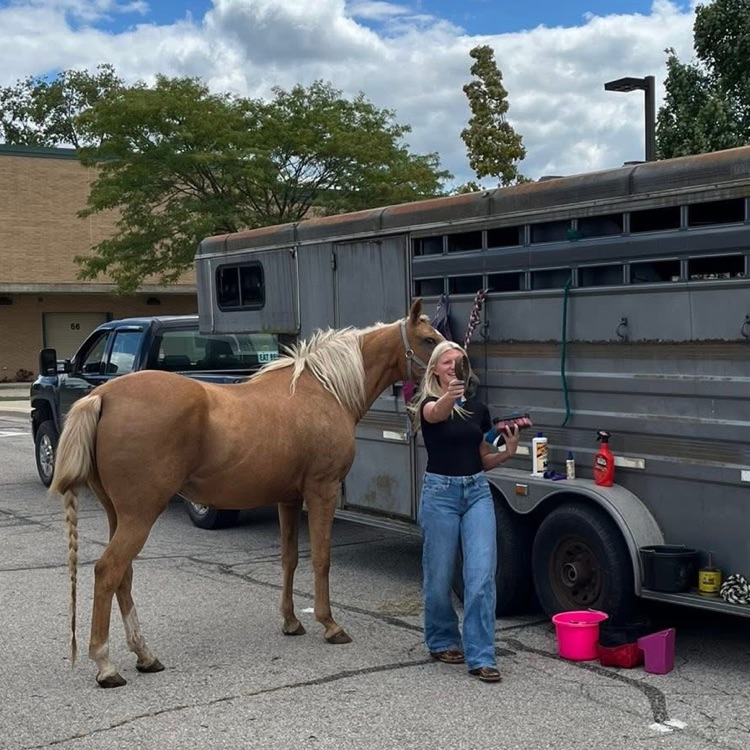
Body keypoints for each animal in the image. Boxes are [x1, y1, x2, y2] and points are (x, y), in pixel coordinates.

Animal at [50, 298, 441, 688]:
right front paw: (330, 624)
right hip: (141, 514)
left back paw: (145, 655)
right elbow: (321, 558)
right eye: (428, 339)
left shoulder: (289, 499)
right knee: (108, 571)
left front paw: (291, 622)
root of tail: (101, 395)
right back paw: (106, 665)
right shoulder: (322, 492)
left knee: (124, 575)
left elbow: (289, 559)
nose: (456, 368)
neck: (324, 390)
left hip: (118, 514)